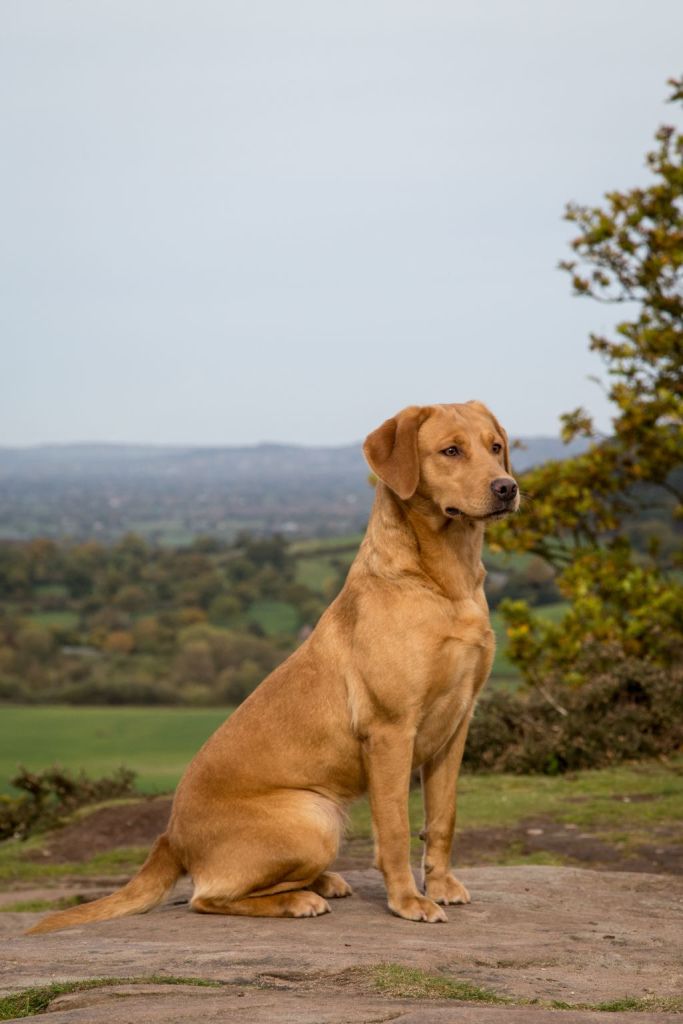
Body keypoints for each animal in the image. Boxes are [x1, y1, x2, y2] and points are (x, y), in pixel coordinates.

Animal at [26, 401, 518, 937]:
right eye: (450, 451)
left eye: (495, 447)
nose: (507, 487)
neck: (444, 582)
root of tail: (170, 837)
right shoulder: (391, 731)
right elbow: (395, 830)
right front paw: (408, 901)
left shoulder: (456, 725)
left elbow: (443, 817)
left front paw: (442, 885)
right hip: (315, 817)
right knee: (208, 898)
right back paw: (298, 899)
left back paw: (322, 883)